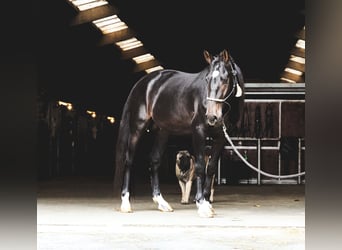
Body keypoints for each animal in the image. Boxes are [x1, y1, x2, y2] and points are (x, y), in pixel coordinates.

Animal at [115, 48, 246, 217]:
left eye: (225, 79)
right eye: (207, 79)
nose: (211, 117)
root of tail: (143, 83)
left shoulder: (221, 137)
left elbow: (210, 168)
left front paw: (207, 202)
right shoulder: (198, 132)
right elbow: (199, 166)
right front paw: (201, 204)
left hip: (162, 131)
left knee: (154, 161)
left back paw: (161, 202)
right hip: (138, 127)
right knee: (129, 160)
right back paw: (126, 203)